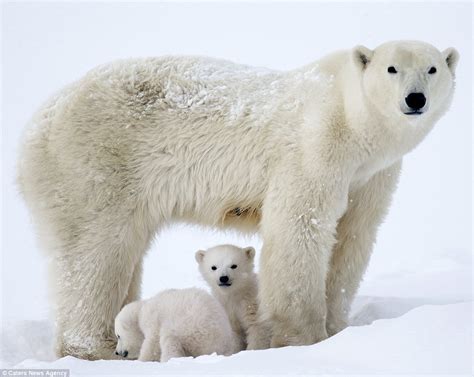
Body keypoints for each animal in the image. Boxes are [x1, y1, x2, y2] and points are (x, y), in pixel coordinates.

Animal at [18, 40, 460, 358]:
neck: (351, 120)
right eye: (391, 68)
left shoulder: (370, 176)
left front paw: (337, 329)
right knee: (93, 255)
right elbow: (299, 227)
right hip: (94, 163)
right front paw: (301, 338)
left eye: (432, 68)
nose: (415, 99)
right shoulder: (313, 150)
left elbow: (353, 237)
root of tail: (36, 125)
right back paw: (95, 348)